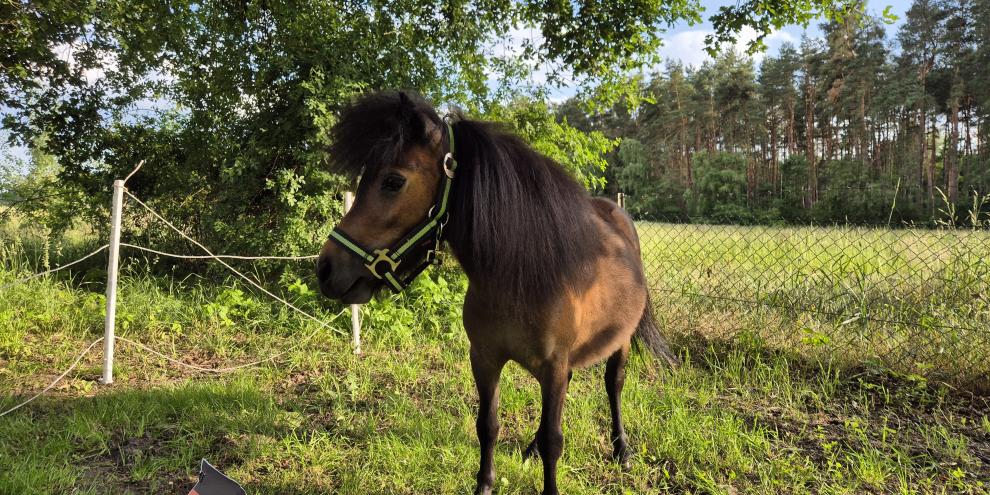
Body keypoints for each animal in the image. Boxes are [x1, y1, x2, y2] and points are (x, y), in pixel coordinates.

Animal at [316, 91, 677, 495]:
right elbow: (487, 426)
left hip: (621, 342)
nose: (326, 269)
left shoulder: (553, 366)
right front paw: (485, 486)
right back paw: (532, 448)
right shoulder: (485, 359)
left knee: (613, 386)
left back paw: (622, 450)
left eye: (393, 181)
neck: (520, 279)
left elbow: (555, 442)